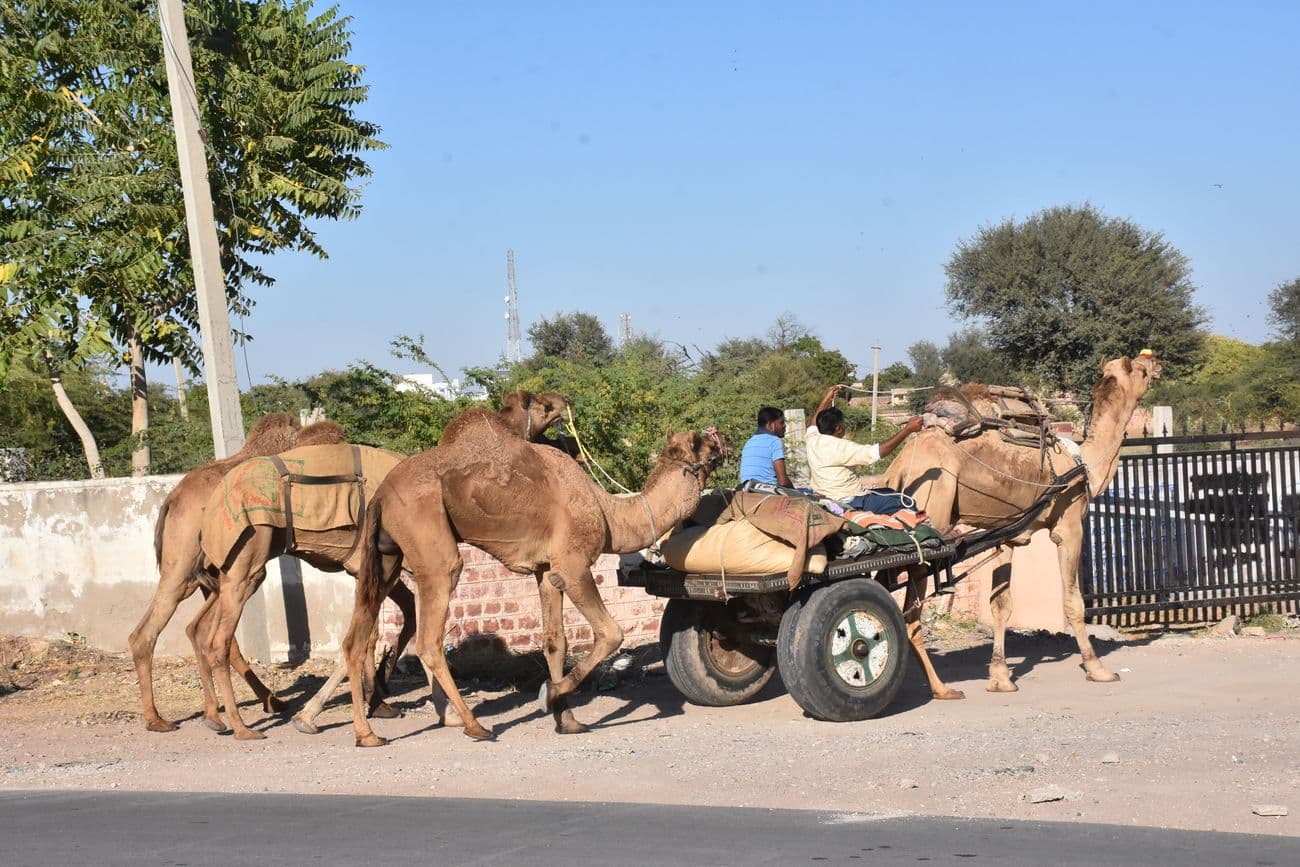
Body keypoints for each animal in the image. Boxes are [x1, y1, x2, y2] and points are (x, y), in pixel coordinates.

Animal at [185, 392, 572, 738]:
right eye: (543, 405)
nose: (565, 401)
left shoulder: (379, 569)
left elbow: (384, 629)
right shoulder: (388, 567)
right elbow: (388, 631)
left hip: (230, 570)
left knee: (201, 629)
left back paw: (217, 718)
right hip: (246, 561)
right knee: (218, 639)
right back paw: (241, 726)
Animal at [340, 423, 728, 748]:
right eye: (702, 441)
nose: (723, 439)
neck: (608, 513)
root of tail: (380, 494)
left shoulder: (546, 571)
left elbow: (556, 642)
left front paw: (567, 720)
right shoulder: (572, 565)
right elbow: (610, 633)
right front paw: (550, 695)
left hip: (386, 556)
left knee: (355, 638)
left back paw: (367, 734)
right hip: (429, 540)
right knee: (429, 639)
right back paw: (474, 725)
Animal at [878, 353, 1164, 696]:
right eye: (1140, 368)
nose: (1157, 363)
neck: (1083, 463)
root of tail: (898, 468)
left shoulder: (1007, 534)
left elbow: (1000, 603)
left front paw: (1001, 677)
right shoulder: (1068, 526)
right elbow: (1073, 602)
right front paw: (1098, 669)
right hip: (931, 516)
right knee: (910, 613)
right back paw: (942, 689)